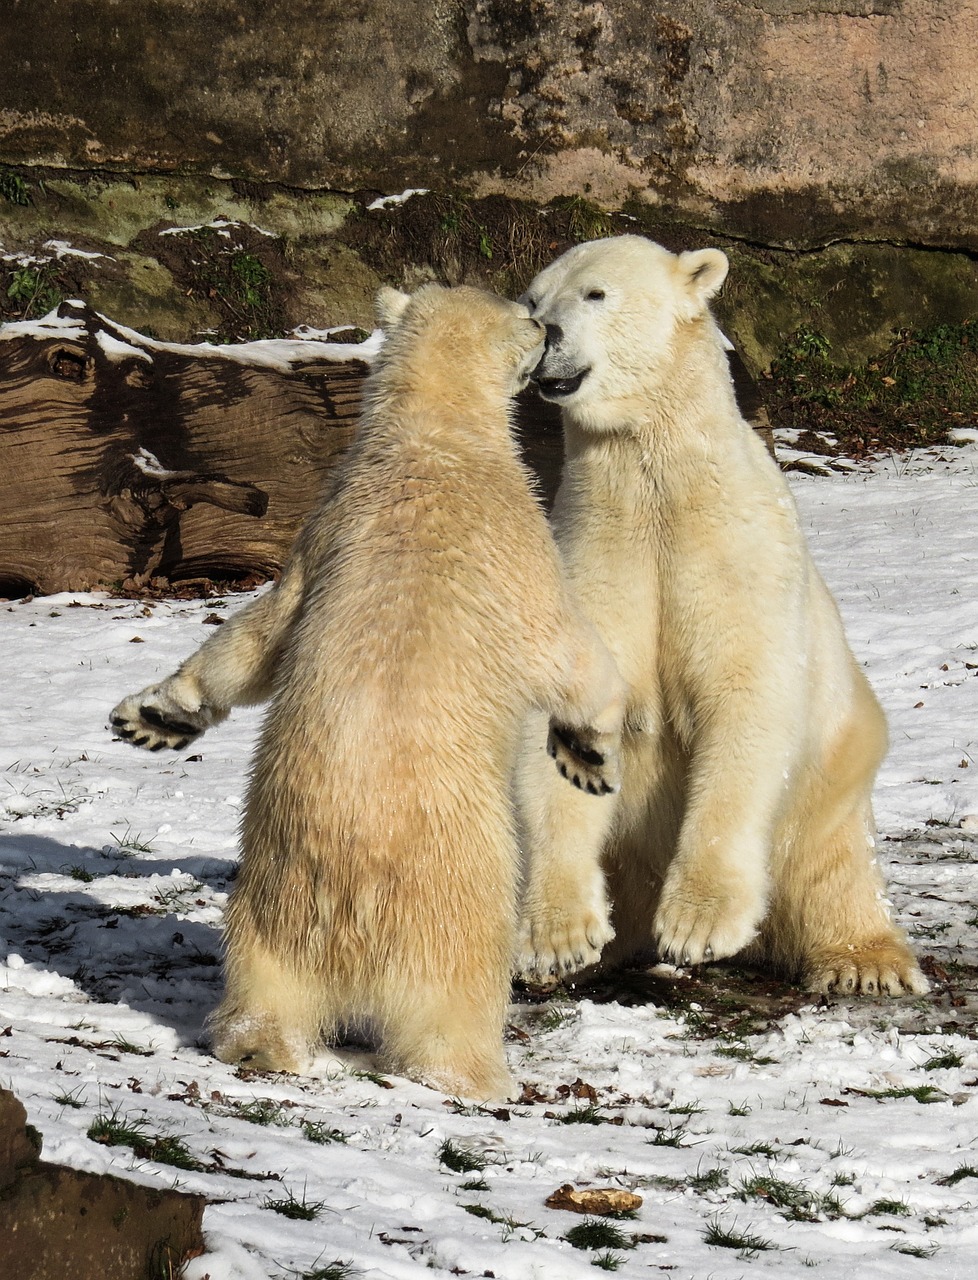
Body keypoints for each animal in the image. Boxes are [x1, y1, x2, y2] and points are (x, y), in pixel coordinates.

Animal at [110, 282, 622, 1100]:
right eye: (529, 315)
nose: (548, 331)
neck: (429, 442)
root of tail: (351, 904)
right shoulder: (516, 538)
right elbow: (567, 647)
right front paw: (589, 753)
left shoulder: (321, 532)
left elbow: (256, 638)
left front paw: (157, 716)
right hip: (456, 893)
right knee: (454, 997)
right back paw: (482, 1075)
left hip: (271, 900)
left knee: (264, 980)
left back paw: (256, 1045)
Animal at [514, 240, 926, 998]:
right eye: (533, 298)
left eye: (595, 294)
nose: (545, 333)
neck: (659, 484)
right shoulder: (595, 554)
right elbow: (564, 722)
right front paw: (556, 942)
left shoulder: (734, 556)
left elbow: (745, 699)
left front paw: (700, 924)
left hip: (831, 786)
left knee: (834, 870)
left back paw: (866, 963)